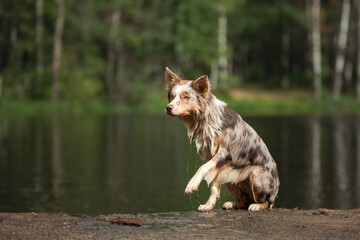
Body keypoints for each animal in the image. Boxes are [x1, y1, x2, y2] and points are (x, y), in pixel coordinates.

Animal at [165, 67, 280, 212]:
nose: (168, 107)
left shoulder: (225, 153)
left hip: (256, 175)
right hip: (233, 179)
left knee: (265, 203)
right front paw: (208, 206)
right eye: (172, 96)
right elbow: (214, 185)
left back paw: (256, 206)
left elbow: (202, 168)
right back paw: (232, 204)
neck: (207, 119)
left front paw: (192, 185)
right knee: (244, 202)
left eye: (186, 97)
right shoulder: (215, 159)